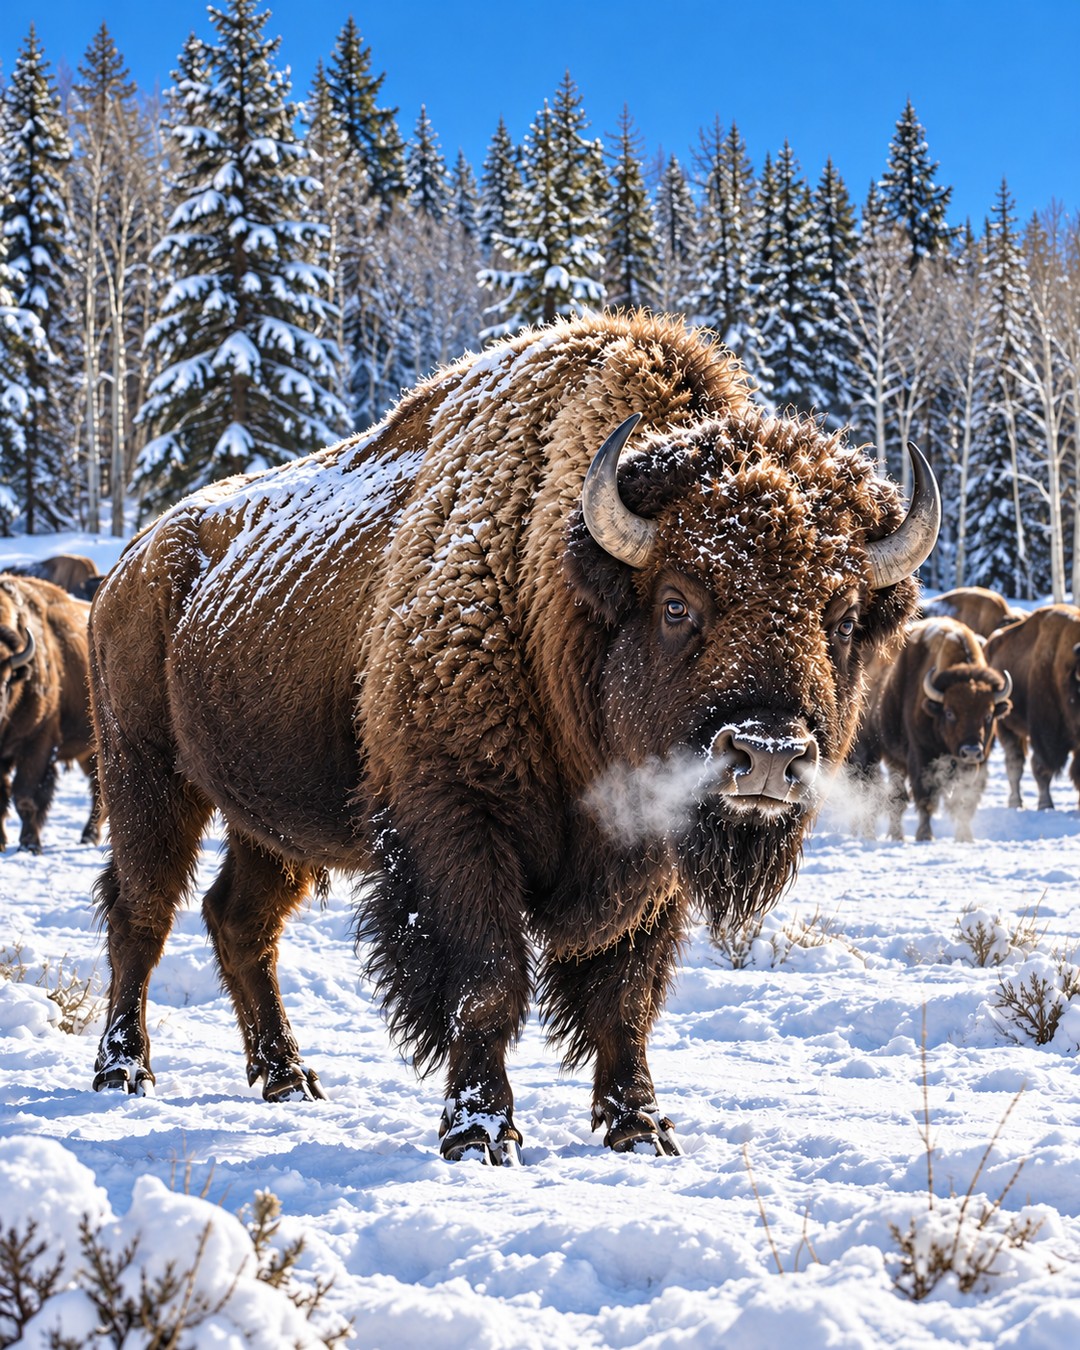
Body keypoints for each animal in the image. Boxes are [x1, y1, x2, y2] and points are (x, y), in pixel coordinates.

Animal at [0, 575, 103, 852]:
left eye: (6, 679)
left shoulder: (38, 742)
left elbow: (26, 796)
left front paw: (30, 845)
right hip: (86, 751)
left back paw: (89, 836)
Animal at [88, 312, 938, 1162]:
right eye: (676, 602)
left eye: (844, 619)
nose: (767, 754)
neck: (555, 592)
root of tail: (129, 566)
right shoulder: (457, 824)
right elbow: (487, 983)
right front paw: (481, 1133)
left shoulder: (649, 863)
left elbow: (626, 999)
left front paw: (640, 1128)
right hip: (146, 777)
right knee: (142, 915)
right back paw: (124, 1071)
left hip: (272, 823)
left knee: (241, 922)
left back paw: (288, 1078)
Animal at [986, 604, 1080, 810]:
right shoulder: (1044, 733)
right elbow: (1041, 769)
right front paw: (1046, 805)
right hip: (1005, 726)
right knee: (1014, 763)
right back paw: (1015, 802)